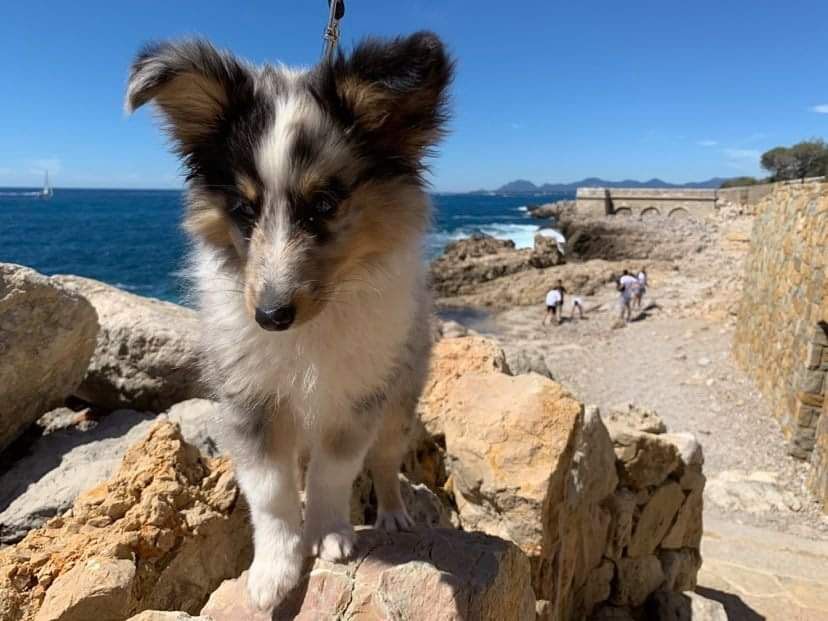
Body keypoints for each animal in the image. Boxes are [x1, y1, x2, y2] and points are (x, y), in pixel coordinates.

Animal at [126, 32, 452, 609]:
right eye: (243, 209)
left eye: (323, 203)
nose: (270, 317)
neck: (308, 333)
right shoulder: (249, 396)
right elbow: (271, 488)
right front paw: (272, 570)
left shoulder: (357, 394)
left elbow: (333, 472)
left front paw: (328, 534)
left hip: (401, 393)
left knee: (386, 459)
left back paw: (392, 512)